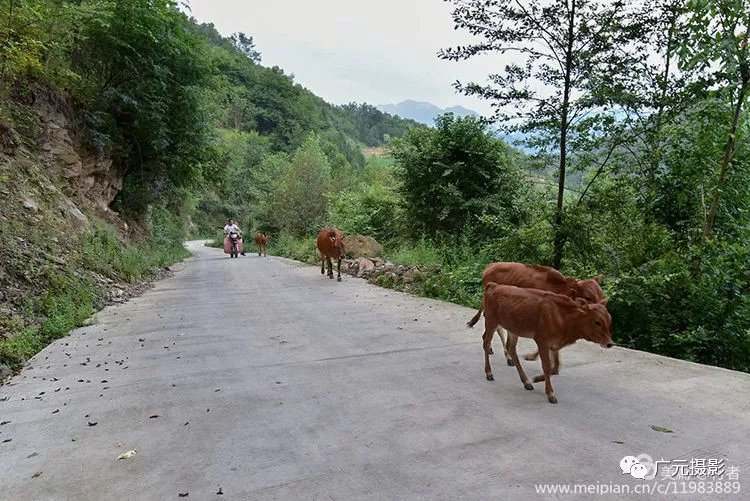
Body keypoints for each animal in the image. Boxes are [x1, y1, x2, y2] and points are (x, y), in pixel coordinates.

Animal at [468, 260, 608, 370]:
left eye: (601, 296)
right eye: (588, 297)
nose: (601, 311)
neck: (561, 289)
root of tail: (490, 266)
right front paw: (533, 356)